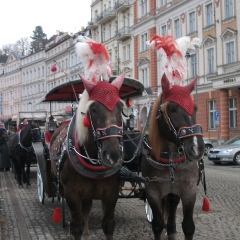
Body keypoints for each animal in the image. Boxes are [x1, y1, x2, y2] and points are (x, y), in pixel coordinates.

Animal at [50, 73, 125, 240]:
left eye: (121, 107)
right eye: (93, 109)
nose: (112, 155)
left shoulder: (111, 193)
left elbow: (108, 225)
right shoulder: (72, 194)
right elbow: (76, 227)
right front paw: (78, 230)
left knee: (87, 208)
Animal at [142, 74, 205, 240]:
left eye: (195, 108)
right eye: (172, 108)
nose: (197, 147)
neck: (170, 159)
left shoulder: (189, 190)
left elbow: (188, 226)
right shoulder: (152, 191)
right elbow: (157, 225)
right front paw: (161, 227)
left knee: (173, 203)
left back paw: (171, 229)